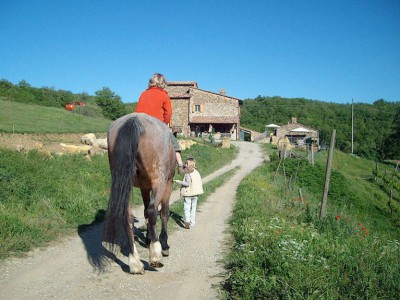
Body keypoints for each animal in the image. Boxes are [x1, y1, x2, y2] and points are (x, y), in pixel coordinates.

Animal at [104, 112, 175, 274]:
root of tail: (133, 119)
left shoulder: (144, 188)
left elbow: (145, 212)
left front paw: (148, 238)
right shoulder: (168, 183)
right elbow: (164, 213)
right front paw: (163, 244)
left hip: (125, 182)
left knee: (127, 216)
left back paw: (135, 262)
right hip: (159, 181)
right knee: (153, 210)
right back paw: (155, 255)